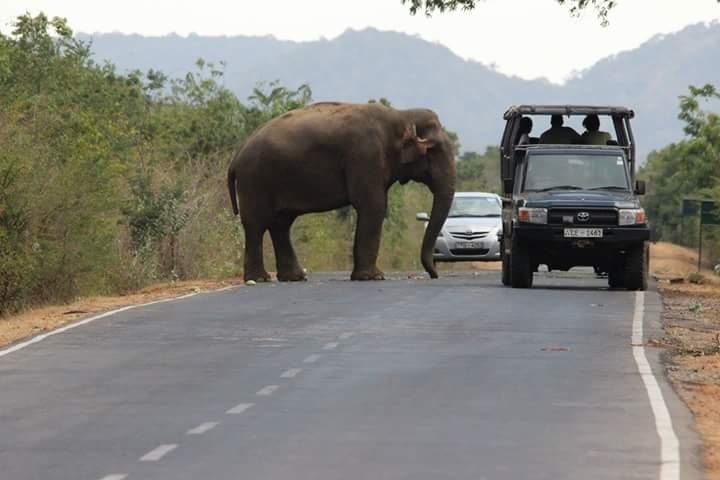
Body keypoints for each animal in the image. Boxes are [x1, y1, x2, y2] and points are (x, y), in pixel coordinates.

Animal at [226, 101, 456, 282]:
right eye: (434, 150)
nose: (434, 274)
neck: (402, 115)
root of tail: (236, 157)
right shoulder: (366, 155)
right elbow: (373, 205)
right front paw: (373, 277)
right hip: (255, 179)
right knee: (256, 224)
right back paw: (260, 279)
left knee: (281, 223)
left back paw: (294, 278)